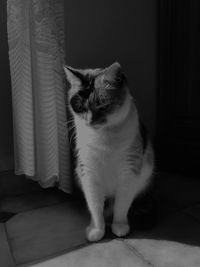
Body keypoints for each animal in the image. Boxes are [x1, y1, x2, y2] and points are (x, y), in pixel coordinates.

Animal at [63, 62, 154, 243]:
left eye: (103, 106)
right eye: (80, 107)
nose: (90, 121)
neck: (104, 139)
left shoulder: (129, 171)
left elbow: (121, 205)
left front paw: (119, 227)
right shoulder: (89, 172)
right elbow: (95, 205)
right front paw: (97, 230)